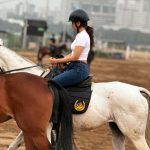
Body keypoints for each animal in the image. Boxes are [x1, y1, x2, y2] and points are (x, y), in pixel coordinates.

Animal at [0, 45, 149, 150]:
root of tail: (137, 90)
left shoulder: (41, 128)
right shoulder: (33, 127)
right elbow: (13, 145)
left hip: (135, 135)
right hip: (118, 131)